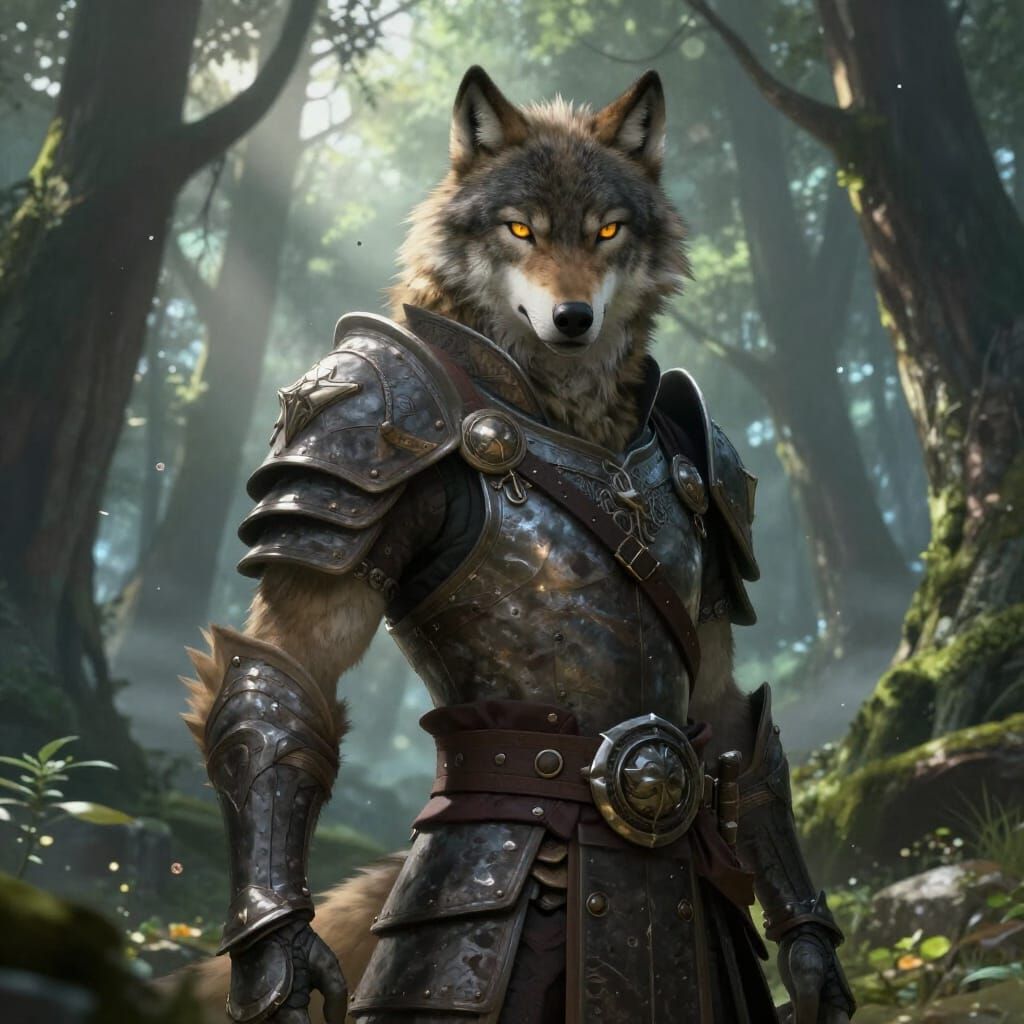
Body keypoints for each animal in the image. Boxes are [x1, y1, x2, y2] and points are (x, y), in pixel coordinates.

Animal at [175, 67, 853, 1023]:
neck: (567, 409)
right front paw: (281, 959)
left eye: (607, 231)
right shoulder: (359, 425)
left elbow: (732, 727)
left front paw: (813, 961)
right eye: (520, 229)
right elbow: (286, 673)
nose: (572, 317)